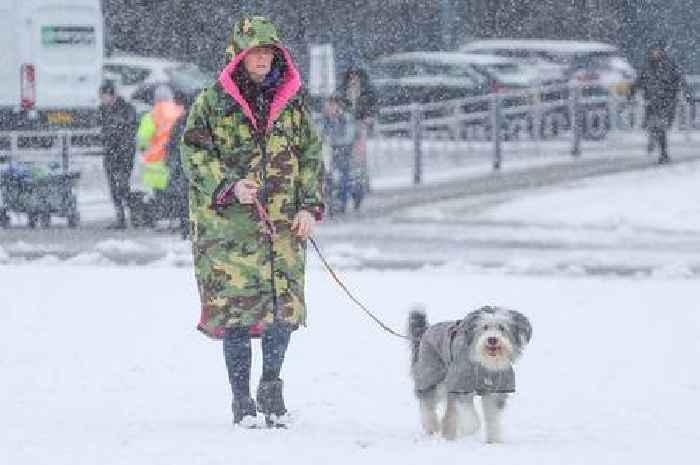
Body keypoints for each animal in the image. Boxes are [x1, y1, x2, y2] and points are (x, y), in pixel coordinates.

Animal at [408, 304, 532, 442]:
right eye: (485, 327)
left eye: (502, 327)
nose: (492, 339)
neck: (485, 364)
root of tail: (425, 331)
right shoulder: (462, 383)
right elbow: (469, 413)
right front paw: (470, 428)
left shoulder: (497, 389)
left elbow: (493, 416)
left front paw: (494, 440)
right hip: (431, 374)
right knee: (426, 401)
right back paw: (432, 426)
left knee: (449, 410)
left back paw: (448, 434)